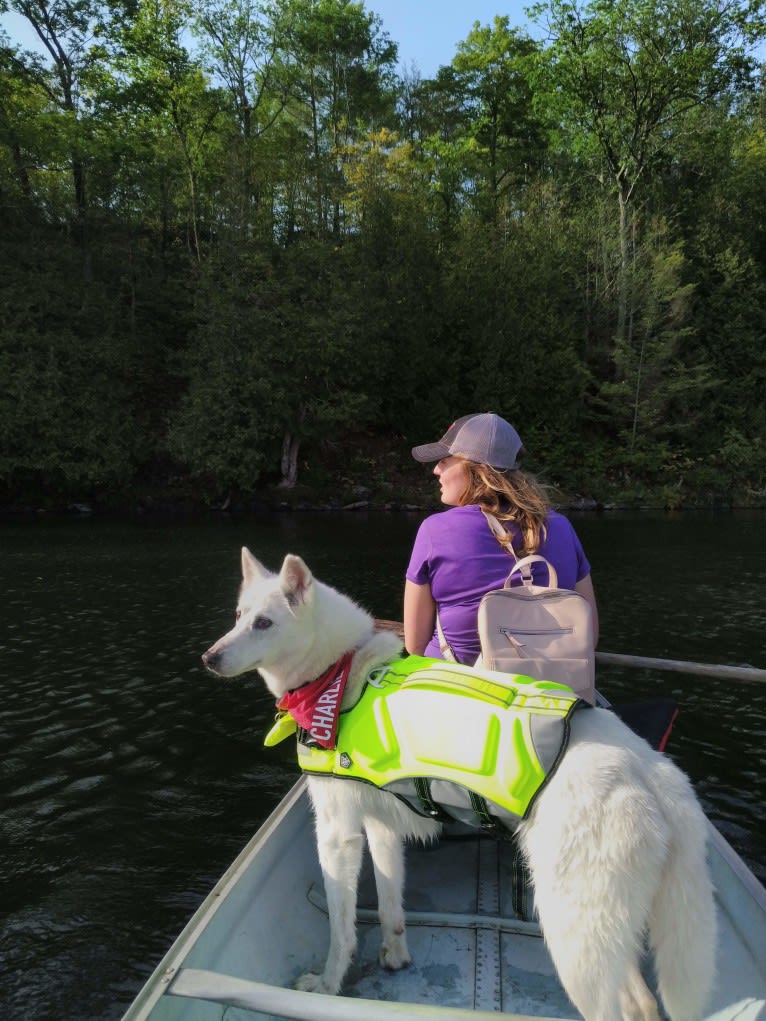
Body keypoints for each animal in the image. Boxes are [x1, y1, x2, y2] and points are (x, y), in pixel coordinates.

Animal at [201, 551, 719, 1021]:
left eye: (264, 623)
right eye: (239, 616)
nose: (209, 657)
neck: (341, 675)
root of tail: (649, 768)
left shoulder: (336, 833)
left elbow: (341, 930)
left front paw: (327, 986)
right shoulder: (381, 829)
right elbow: (389, 905)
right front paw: (395, 958)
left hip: (573, 936)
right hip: (605, 932)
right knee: (644, 1003)